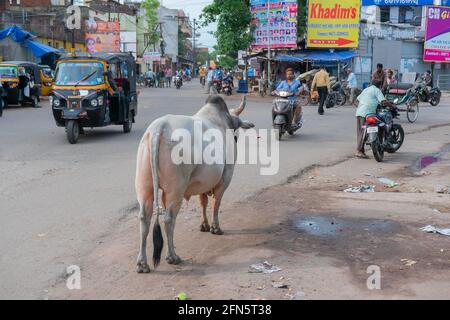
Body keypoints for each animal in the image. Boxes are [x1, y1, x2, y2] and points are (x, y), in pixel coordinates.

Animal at [134, 95, 253, 272]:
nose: (236, 138)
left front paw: (204, 225)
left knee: (144, 219)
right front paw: (215, 228)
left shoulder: (202, 182)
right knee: (169, 219)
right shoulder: (225, 178)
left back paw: (142, 263)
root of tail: (158, 127)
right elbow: (216, 203)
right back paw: (172, 256)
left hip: (145, 187)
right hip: (176, 190)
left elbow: (203, 202)